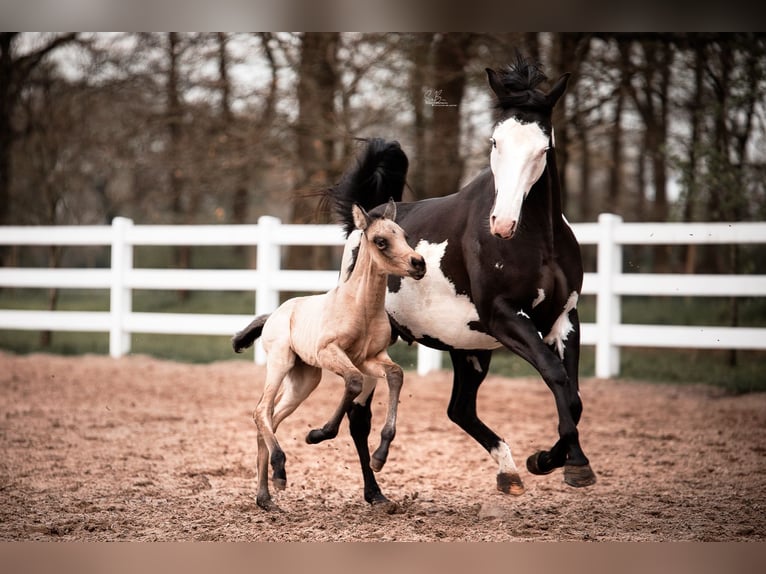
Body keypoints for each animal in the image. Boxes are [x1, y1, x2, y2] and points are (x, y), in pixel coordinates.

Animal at [232, 197, 426, 511]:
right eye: (381, 241)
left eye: (404, 236)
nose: (418, 263)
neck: (361, 308)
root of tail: (273, 314)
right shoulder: (330, 352)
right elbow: (354, 382)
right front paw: (317, 435)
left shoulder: (370, 358)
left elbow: (395, 375)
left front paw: (380, 456)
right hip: (280, 362)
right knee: (261, 410)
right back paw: (279, 472)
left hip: (305, 379)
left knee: (271, 417)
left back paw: (265, 496)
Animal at [323, 53, 597, 504]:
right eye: (495, 142)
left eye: (544, 146)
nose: (502, 223)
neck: (539, 242)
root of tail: (361, 224)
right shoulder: (505, 317)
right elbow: (557, 378)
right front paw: (564, 463)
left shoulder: (564, 319)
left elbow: (572, 395)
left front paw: (553, 461)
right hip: (375, 344)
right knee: (360, 418)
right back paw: (375, 492)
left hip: (467, 347)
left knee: (460, 409)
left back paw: (508, 472)